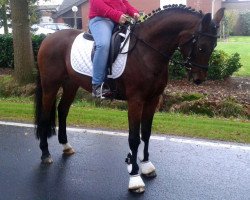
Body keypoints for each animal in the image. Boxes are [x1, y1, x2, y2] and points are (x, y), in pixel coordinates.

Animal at [34, 5, 225, 194]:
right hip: (50, 86)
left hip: (71, 85)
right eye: (201, 47)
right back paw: (45, 154)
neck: (146, 52)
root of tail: (48, 38)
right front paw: (134, 178)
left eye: (214, 45)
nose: (199, 79)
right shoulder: (135, 101)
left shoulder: (152, 100)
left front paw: (146, 166)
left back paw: (66, 146)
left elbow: (146, 133)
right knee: (45, 116)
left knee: (62, 110)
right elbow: (134, 138)